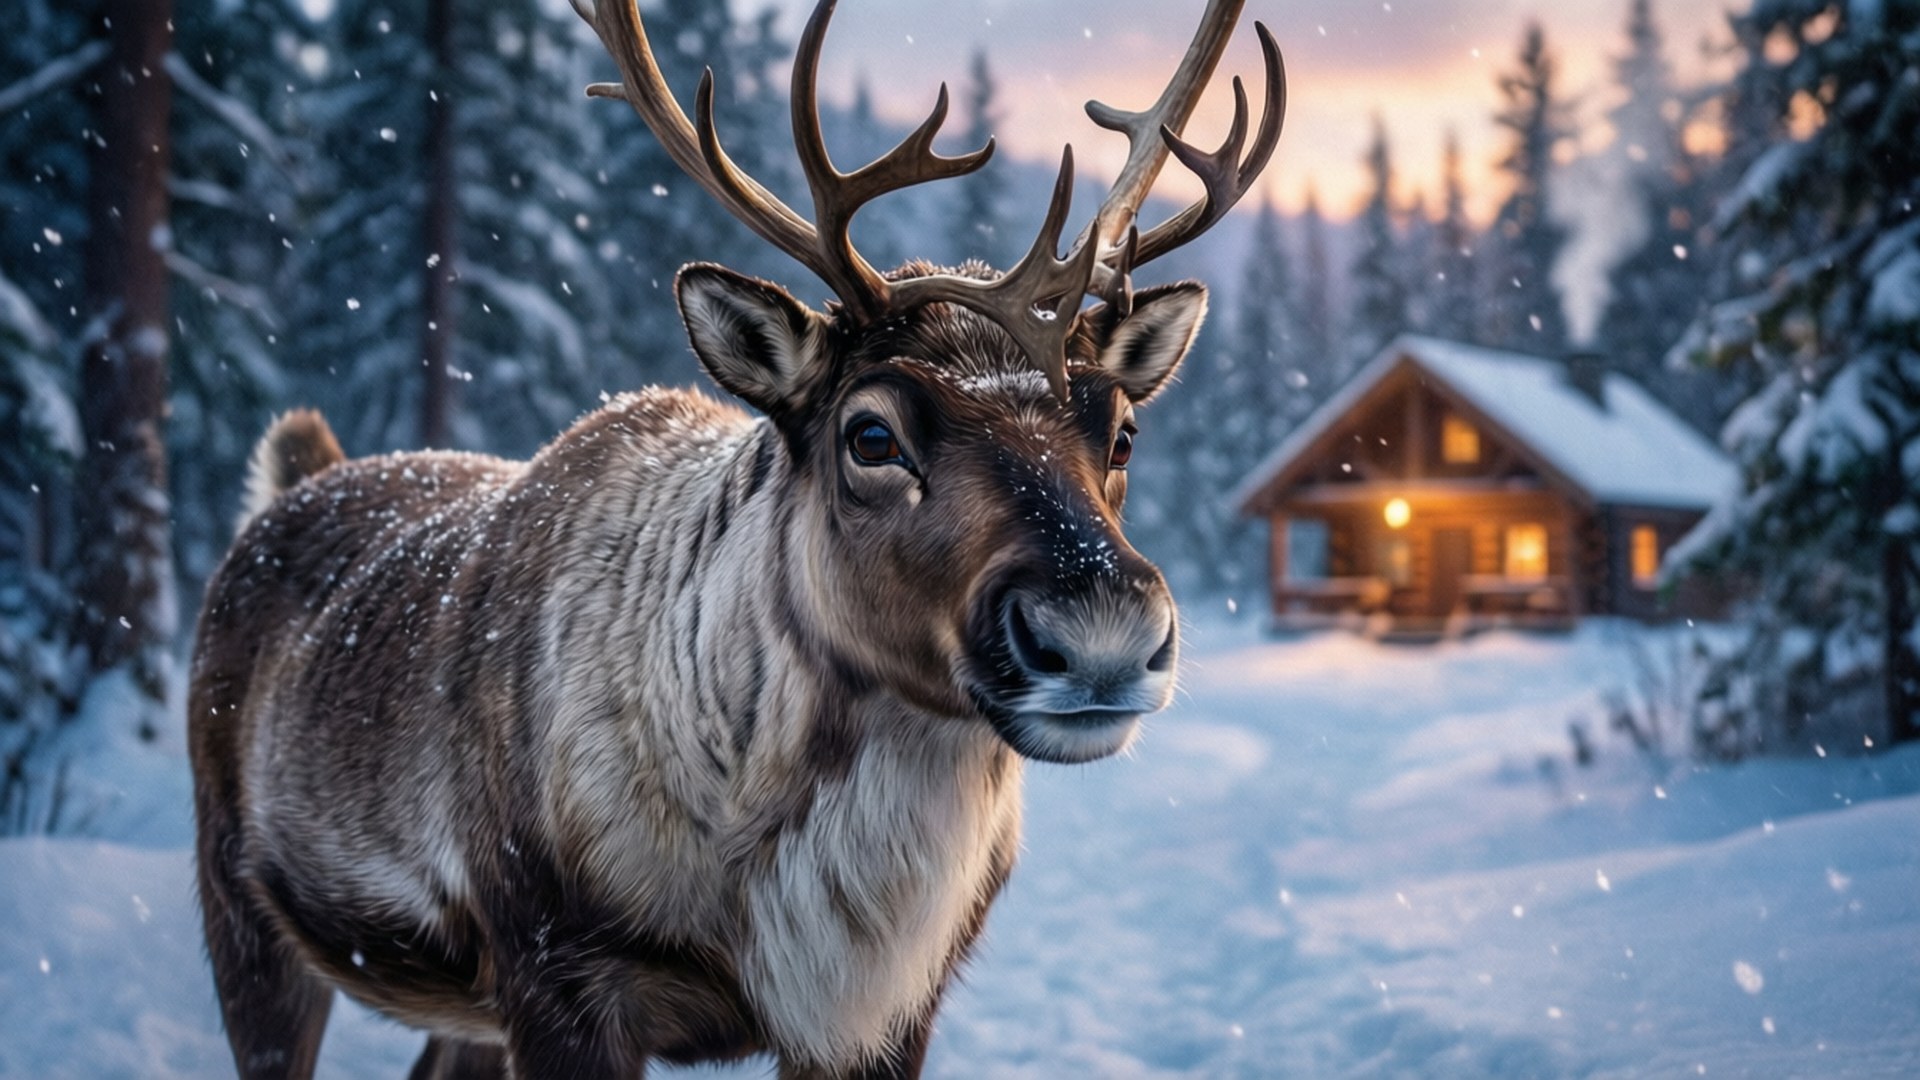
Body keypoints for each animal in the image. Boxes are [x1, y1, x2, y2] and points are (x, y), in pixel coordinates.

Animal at [188, 0, 1284, 1076]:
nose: (1102, 635)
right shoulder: (556, 975)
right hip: (242, 906)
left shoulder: (890, 1015)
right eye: (871, 434)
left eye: (1122, 429)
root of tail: (295, 477)